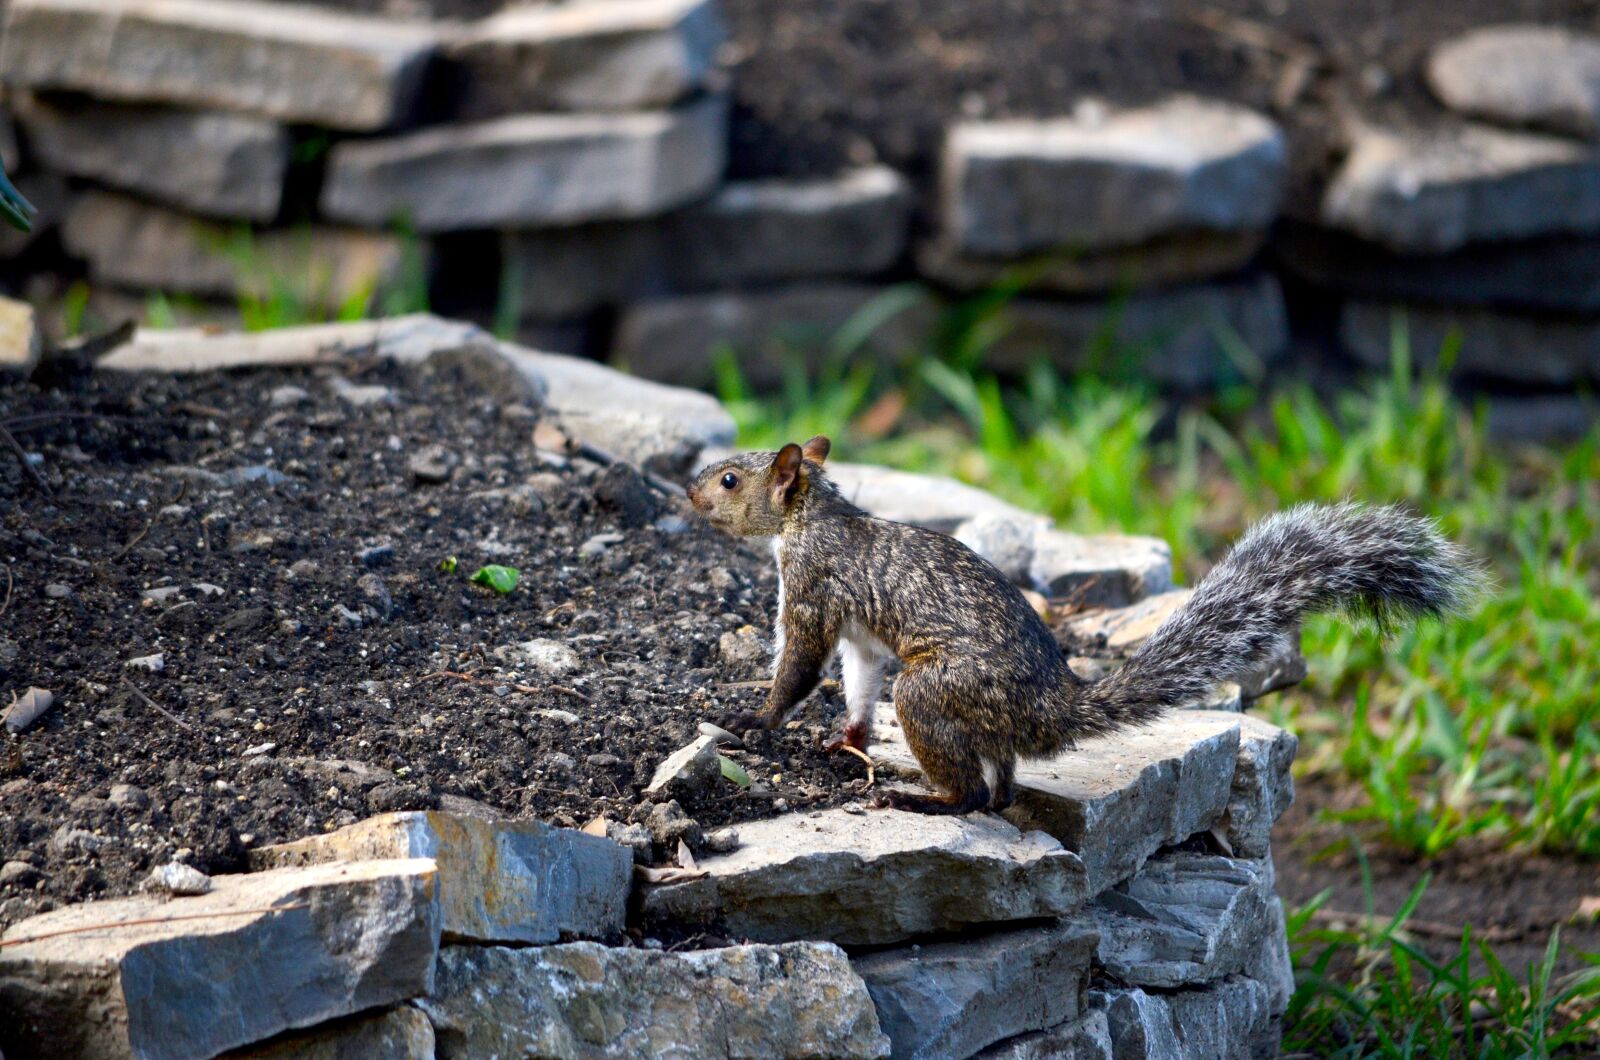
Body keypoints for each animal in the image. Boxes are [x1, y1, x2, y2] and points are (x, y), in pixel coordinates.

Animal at [686, 435, 1482, 816]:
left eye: (730, 479)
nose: (690, 493)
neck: (812, 516)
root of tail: (1052, 707)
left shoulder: (813, 592)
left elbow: (800, 664)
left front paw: (755, 719)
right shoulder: (858, 635)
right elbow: (856, 681)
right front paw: (847, 737)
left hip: (936, 691)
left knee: (972, 793)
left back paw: (920, 799)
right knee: (1000, 786)